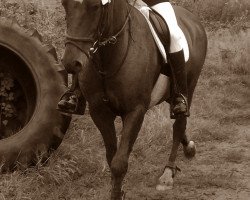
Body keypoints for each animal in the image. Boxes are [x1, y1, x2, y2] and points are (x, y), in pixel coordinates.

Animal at [60, 0, 207, 199]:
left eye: (96, 7)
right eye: (65, 4)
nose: (71, 63)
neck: (111, 56)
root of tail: (193, 20)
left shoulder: (135, 111)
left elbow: (119, 162)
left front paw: (117, 193)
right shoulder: (99, 111)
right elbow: (112, 156)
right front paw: (118, 189)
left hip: (189, 87)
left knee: (179, 124)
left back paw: (168, 173)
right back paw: (189, 147)